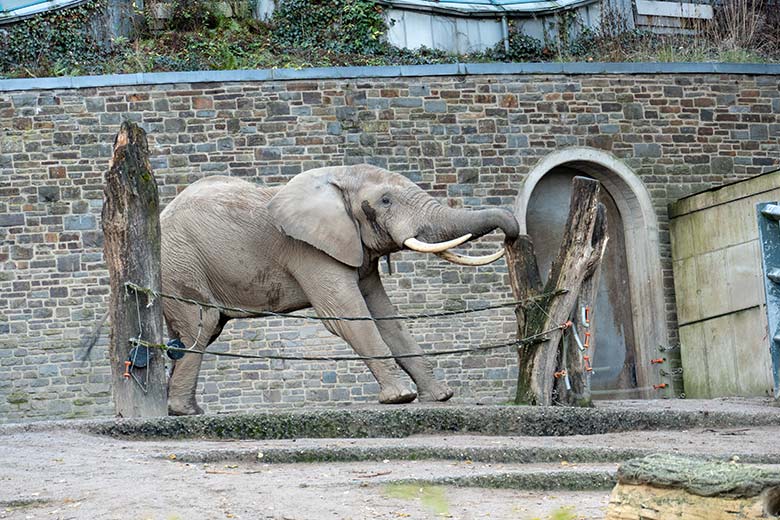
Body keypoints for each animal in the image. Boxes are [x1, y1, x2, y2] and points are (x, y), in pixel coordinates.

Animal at [160, 162, 516, 414]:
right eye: (386, 200)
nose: (512, 235)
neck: (337, 177)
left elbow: (385, 316)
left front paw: (439, 398)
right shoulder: (307, 249)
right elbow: (346, 314)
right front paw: (401, 397)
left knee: (197, 333)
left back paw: (182, 408)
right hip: (180, 263)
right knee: (201, 325)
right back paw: (185, 411)